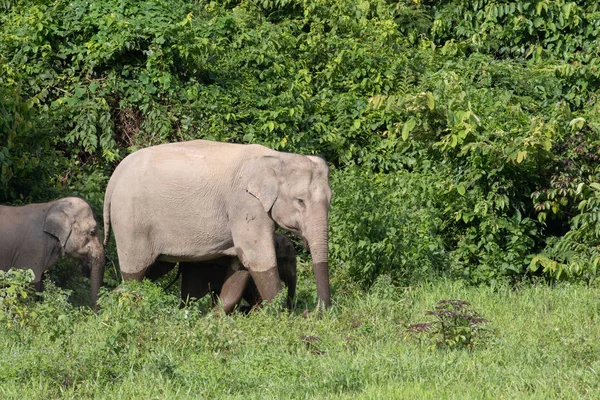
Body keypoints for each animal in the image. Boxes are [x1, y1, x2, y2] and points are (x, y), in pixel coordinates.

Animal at [102, 141, 330, 310]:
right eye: (300, 201)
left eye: (330, 201)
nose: (317, 312)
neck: (277, 158)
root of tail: (114, 178)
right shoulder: (244, 203)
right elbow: (258, 256)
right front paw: (280, 316)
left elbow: (241, 263)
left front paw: (216, 317)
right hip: (131, 221)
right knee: (135, 275)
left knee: (152, 270)